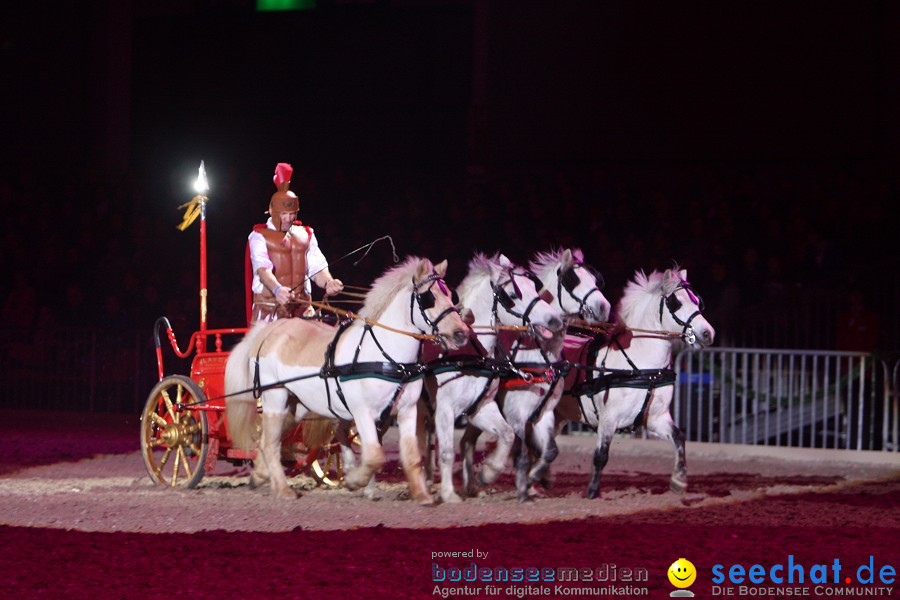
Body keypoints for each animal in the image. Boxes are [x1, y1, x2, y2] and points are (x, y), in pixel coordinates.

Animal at [225, 256, 468, 502]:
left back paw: (260, 475)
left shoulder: (407, 410)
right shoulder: (362, 412)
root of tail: (268, 331)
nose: (461, 333)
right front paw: (354, 480)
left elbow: (411, 455)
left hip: (296, 406)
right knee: (270, 443)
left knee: (269, 439)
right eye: (429, 297)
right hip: (275, 397)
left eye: (450, 295)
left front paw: (422, 495)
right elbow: (374, 456)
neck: (383, 353)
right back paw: (284, 490)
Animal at [424, 252, 564, 502]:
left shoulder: (481, 408)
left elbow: (515, 438)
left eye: (534, 287)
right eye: (513, 295)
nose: (554, 320)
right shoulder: (446, 409)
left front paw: (489, 473)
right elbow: (448, 452)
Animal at [460, 248, 608, 502]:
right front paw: (522, 488)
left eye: (594, 278)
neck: (535, 351)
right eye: (573, 280)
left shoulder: (542, 412)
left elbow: (549, 451)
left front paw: (533, 481)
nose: (604, 307)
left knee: (467, 441)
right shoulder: (515, 414)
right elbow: (520, 450)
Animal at [560, 270, 712, 500]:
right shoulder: (608, 418)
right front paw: (592, 492)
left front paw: (678, 480)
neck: (641, 367)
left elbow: (679, 438)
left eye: (697, 301)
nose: (708, 333)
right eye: (676, 302)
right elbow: (601, 456)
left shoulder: (655, 418)